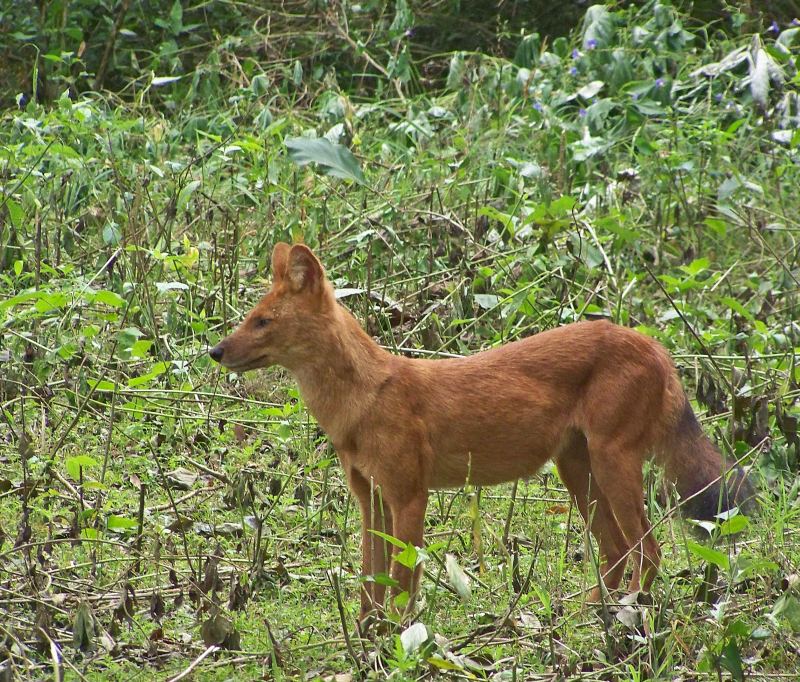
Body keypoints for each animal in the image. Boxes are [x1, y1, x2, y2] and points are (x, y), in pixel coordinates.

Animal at [209, 242, 752, 620]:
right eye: (249, 318)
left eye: (263, 322)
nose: (214, 351)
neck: (360, 402)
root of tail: (655, 345)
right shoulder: (370, 498)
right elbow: (370, 581)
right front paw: (366, 639)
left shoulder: (410, 496)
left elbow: (403, 582)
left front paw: (400, 642)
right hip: (577, 468)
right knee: (617, 550)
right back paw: (582, 616)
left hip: (613, 461)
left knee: (649, 550)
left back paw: (627, 615)